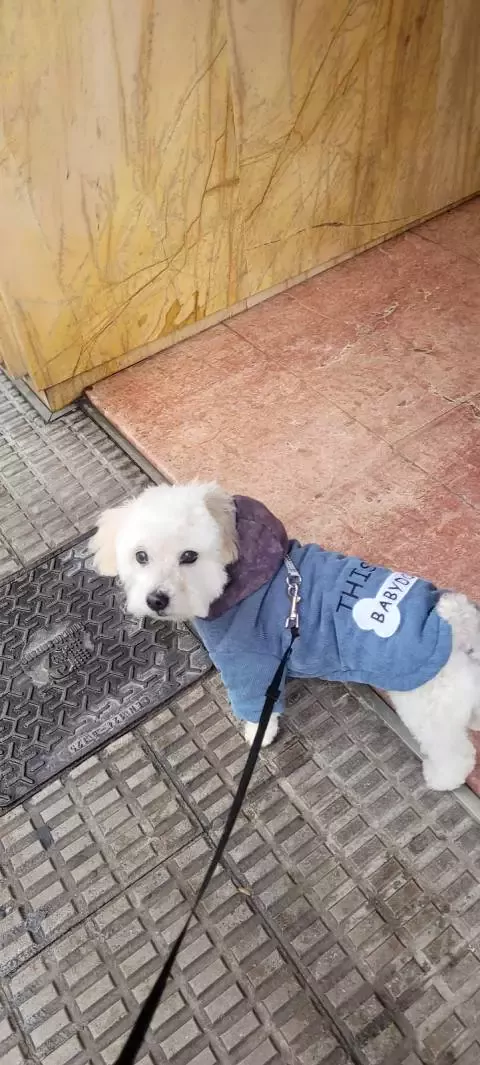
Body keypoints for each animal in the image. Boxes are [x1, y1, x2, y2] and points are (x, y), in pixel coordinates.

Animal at [90, 483, 480, 792]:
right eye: (141, 556)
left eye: (189, 556)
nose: (156, 599)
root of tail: (453, 620)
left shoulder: (246, 664)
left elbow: (256, 709)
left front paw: (258, 735)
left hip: (425, 704)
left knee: (454, 751)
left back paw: (444, 778)